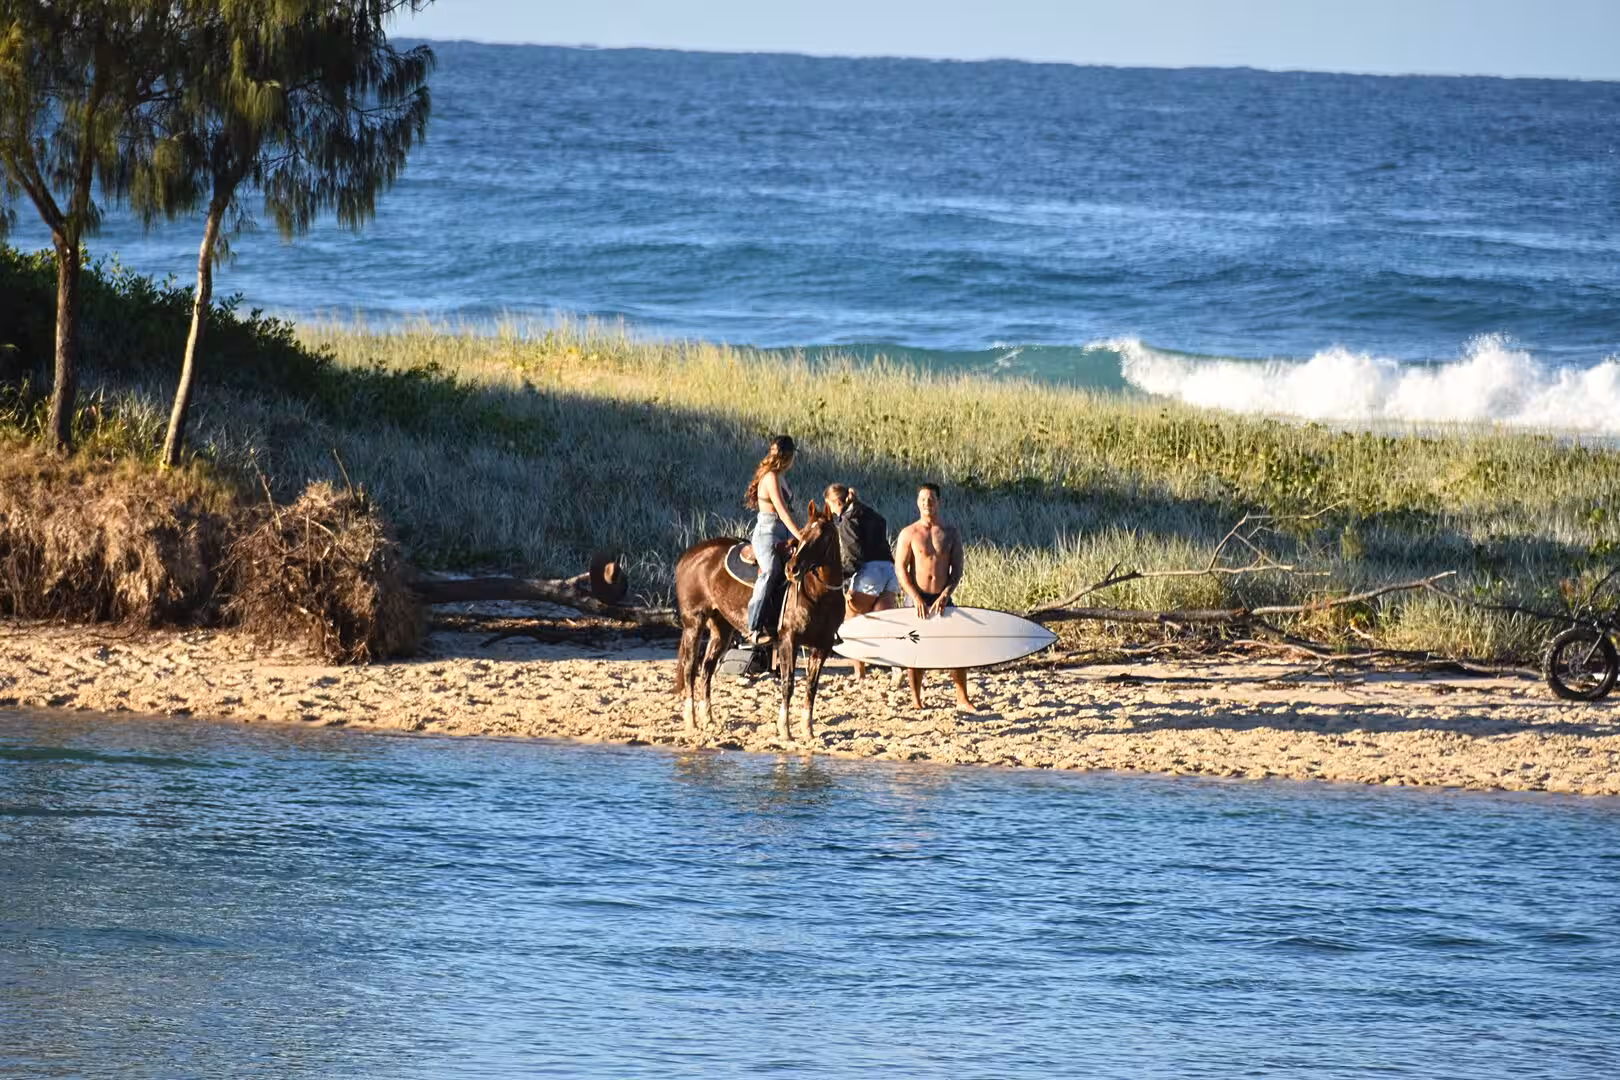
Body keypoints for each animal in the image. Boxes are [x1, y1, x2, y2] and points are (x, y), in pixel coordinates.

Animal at [673, 500, 847, 743]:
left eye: (822, 537)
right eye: (803, 533)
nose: (792, 569)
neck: (819, 593)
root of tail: (689, 555)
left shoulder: (822, 646)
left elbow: (812, 687)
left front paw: (808, 731)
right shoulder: (788, 640)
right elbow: (787, 683)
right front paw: (785, 730)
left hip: (721, 629)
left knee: (707, 668)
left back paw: (708, 719)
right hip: (694, 622)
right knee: (690, 668)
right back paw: (692, 722)